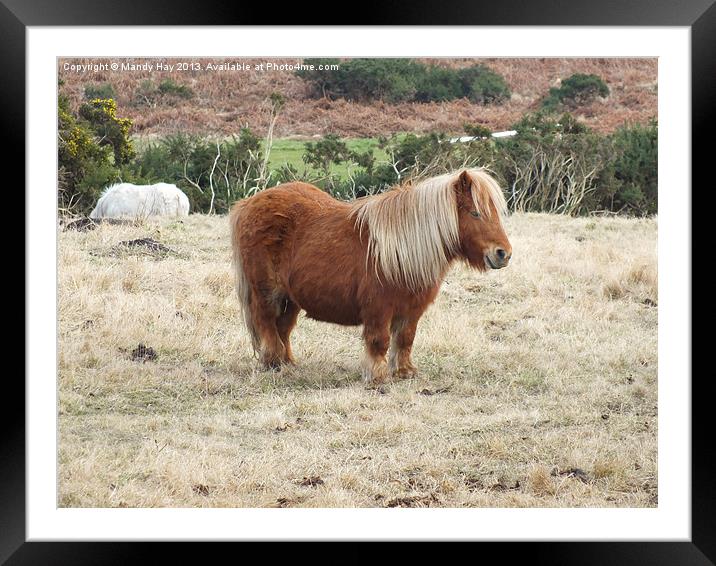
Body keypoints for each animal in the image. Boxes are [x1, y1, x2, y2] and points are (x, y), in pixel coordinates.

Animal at [228, 169, 510, 386]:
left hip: (291, 299)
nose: (503, 254)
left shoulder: (412, 309)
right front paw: (377, 376)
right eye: (475, 213)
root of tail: (248, 203)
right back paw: (273, 362)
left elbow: (406, 339)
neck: (401, 250)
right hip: (267, 293)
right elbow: (379, 341)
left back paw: (288, 364)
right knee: (266, 324)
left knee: (283, 328)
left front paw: (405, 372)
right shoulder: (378, 309)